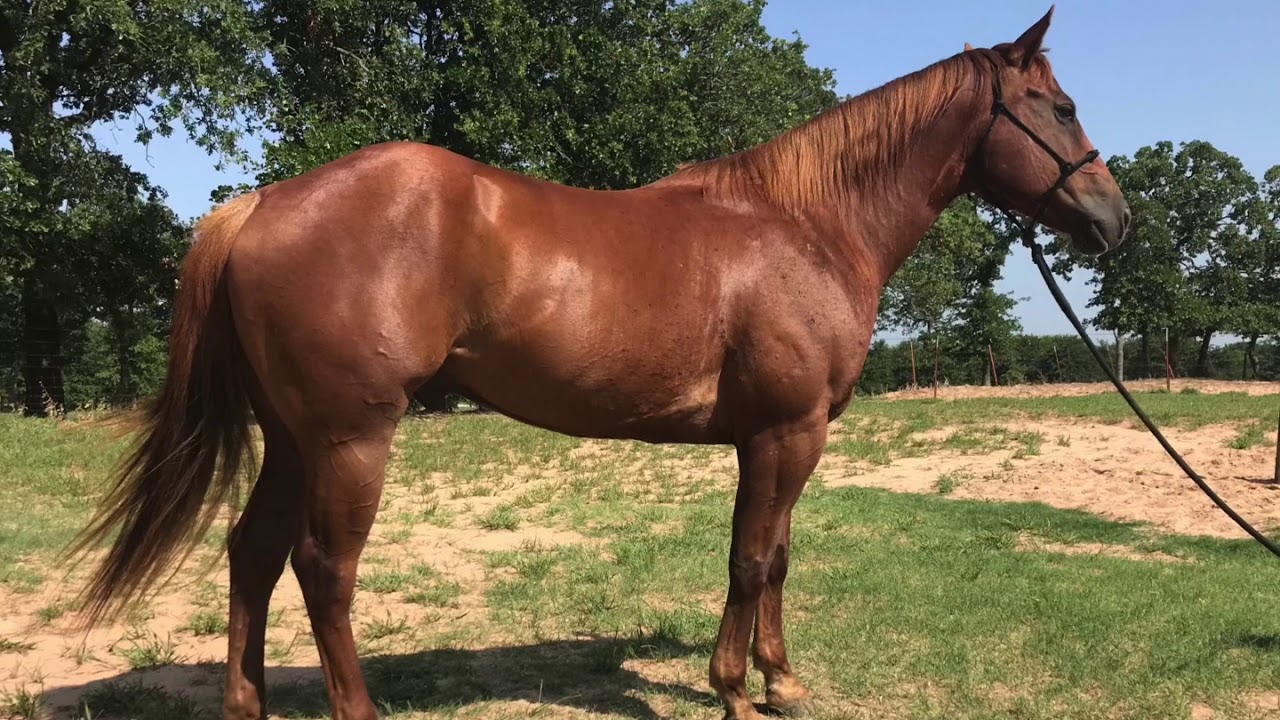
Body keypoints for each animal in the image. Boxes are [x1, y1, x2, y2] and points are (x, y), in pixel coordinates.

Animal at [68, 6, 1128, 720]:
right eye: (1060, 106)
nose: (1114, 219)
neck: (805, 226)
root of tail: (263, 205)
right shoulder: (784, 432)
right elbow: (750, 559)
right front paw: (734, 690)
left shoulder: (784, 438)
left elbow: (777, 558)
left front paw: (782, 680)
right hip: (348, 439)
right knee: (322, 570)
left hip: (290, 438)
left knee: (250, 555)